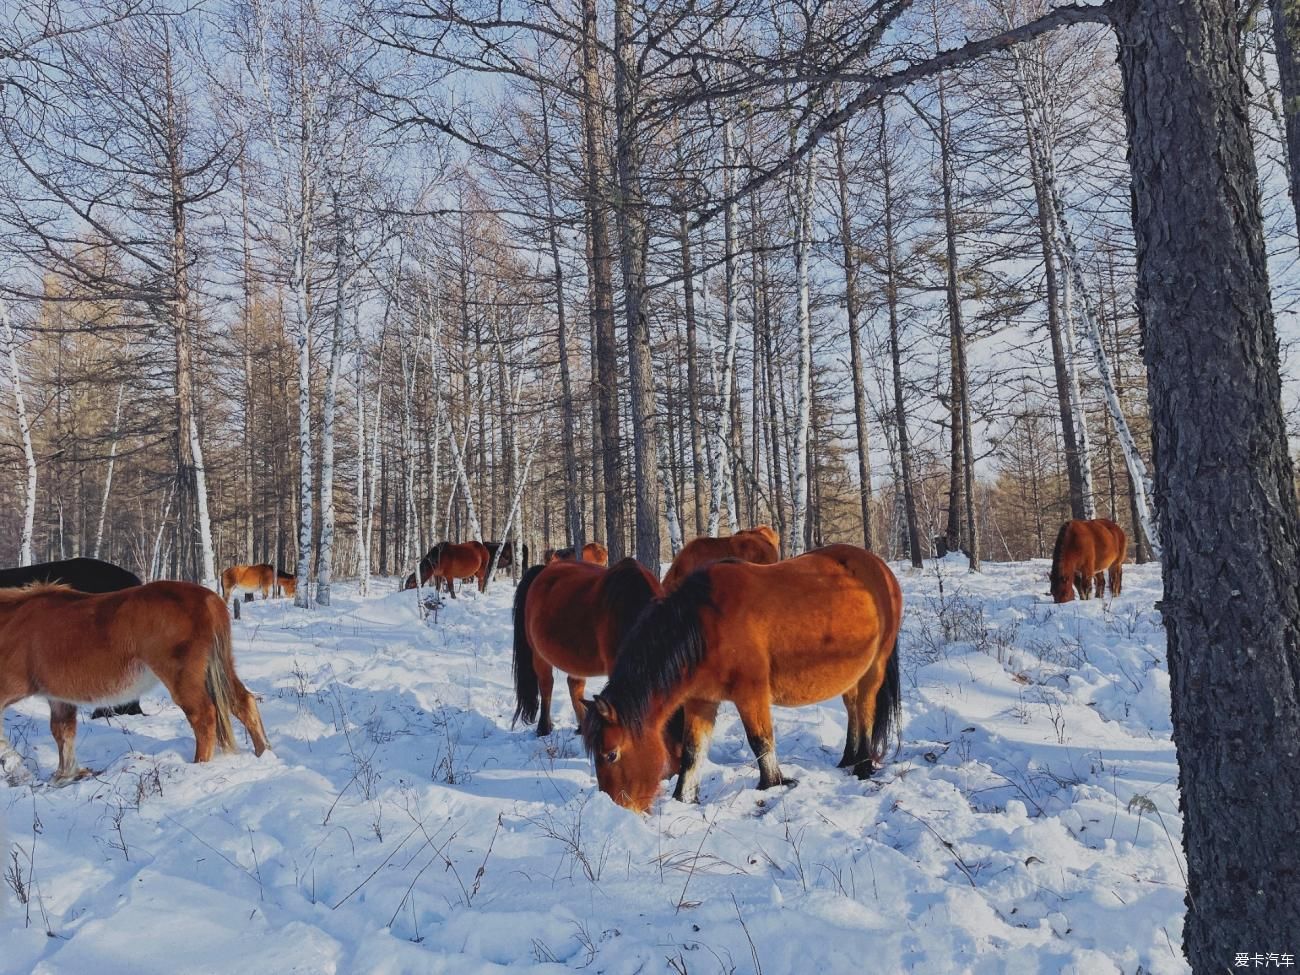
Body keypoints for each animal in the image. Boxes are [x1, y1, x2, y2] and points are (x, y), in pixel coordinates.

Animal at [0, 585, 270, 785]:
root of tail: (208, 599)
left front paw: (17, 772)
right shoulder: (59, 699)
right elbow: (63, 733)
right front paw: (65, 776)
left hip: (184, 678)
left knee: (203, 716)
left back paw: (199, 766)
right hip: (219, 669)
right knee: (243, 702)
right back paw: (264, 753)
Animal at [582, 546, 904, 811]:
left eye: (611, 754)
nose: (617, 807)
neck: (704, 627)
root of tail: (879, 567)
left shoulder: (751, 694)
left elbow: (760, 741)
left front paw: (772, 784)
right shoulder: (701, 700)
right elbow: (692, 752)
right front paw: (684, 798)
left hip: (874, 667)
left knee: (866, 709)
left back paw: (863, 765)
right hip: (852, 675)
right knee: (853, 710)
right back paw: (848, 759)